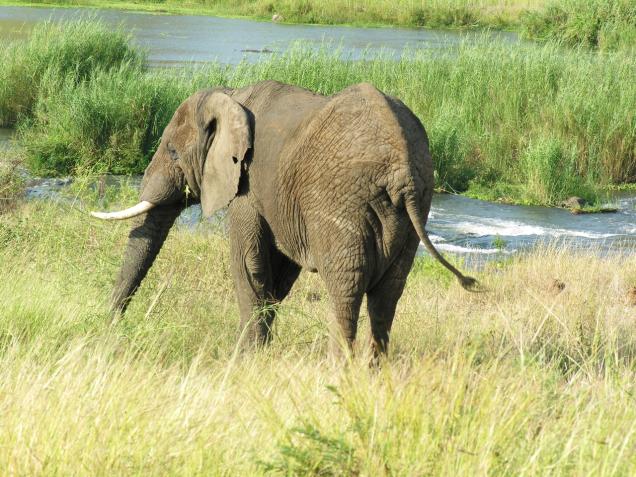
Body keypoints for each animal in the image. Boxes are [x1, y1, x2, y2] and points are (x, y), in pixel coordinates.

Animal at [92, 81, 474, 356]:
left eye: (172, 151)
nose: (111, 325)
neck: (230, 95)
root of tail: (401, 169)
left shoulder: (247, 184)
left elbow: (248, 263)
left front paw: (243, 358)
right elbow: (279, 273)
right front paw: (261, 353)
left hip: (342, 205)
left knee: (346, 288)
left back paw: (339, 370)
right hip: (415, 207)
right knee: (387, 296)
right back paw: (373, 373)